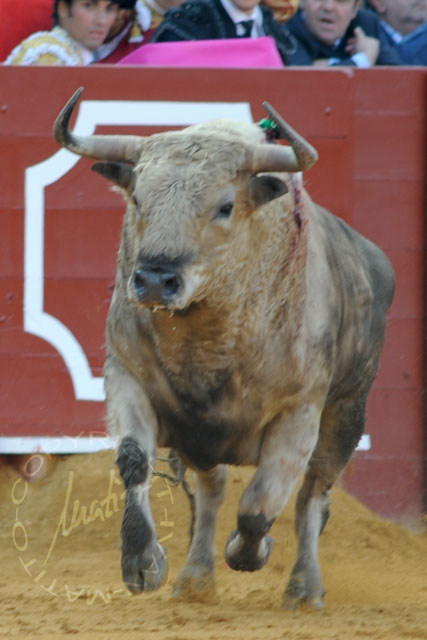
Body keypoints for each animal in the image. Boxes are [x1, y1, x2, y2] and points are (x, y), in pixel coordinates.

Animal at [52, 87, 394, 608]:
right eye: (137, 197)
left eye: (226, 206)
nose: (156, 279)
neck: (207, 342)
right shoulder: (126, 377)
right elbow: (133, 460)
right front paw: (141, 563)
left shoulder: (300, 412)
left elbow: (260, 506)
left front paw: (250, 552)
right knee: (212, 491)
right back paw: (195, 578)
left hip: (347, 413)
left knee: (312, 496)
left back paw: (304, 588)